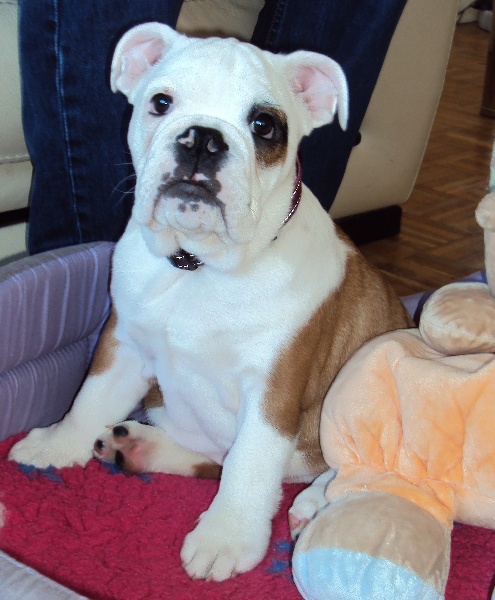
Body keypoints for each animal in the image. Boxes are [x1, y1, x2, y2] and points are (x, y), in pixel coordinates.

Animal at [9, 23, 412, 582]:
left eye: (264, 125)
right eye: (160, 102)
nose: (202, 137)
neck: (199, 265)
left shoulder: (272, 392)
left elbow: (250, 464)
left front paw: (227, 536)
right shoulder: (123, 343)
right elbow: (90, 397)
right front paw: (58, 444)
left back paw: (316, 505)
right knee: (210, 456)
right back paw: (139, 446)